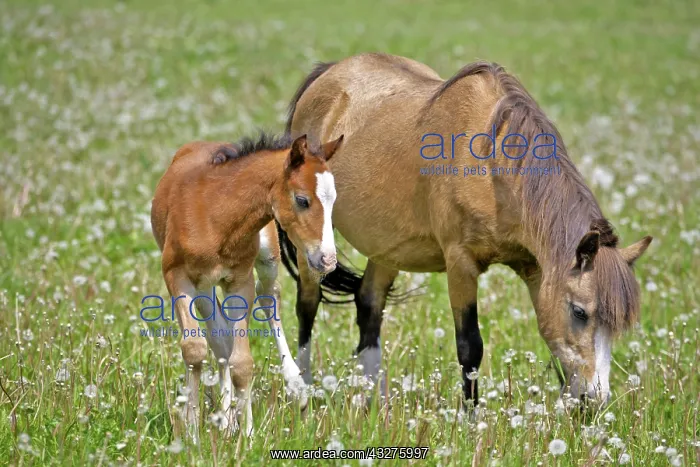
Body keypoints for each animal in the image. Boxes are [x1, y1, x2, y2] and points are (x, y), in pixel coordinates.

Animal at [150, 132, 343, 440]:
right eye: (302, 200)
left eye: (333, 199)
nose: (327, 260)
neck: (216, 216)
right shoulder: (176, 276)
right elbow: (195, 349)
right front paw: (191, 432)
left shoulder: (240, 282)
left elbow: (241, 362)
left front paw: (248, 434)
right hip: (203, 287)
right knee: (219, 338)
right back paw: (225, 419)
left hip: (267, 260)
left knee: (268, 297)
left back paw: (294, 387)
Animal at [278, 53, 652, 409]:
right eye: (579, 312)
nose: (595, 400)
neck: (492, 167)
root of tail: (328, 74)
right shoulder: (460, 262)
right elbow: (469, 345)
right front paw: (471, 419)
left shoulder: (536, 270)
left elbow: (554, 342)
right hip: (312, 245)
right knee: (307, 305)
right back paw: (303, 391)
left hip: (387, 246)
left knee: (369, 304)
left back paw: (374, 404)